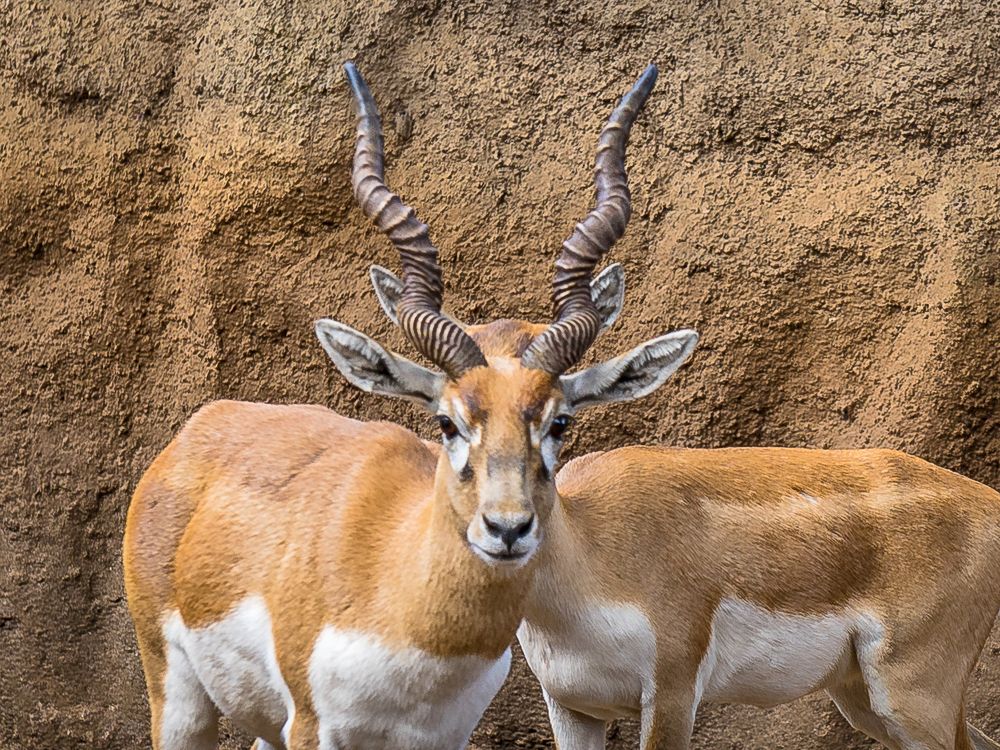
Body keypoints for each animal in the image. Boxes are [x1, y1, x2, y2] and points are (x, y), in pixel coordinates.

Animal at [123, 61, 701, 749]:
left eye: (559, 421)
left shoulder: (442, 734)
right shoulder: (313, 726)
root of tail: (203, 427)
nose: (507, 529)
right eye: (447, 421)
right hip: (180, 698)